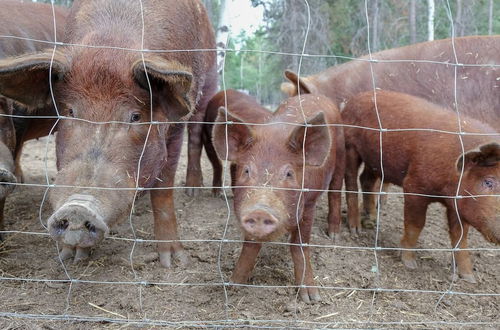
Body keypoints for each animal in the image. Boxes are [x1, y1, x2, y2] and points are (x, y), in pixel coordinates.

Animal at [213, 94, 346, 302]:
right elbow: (249, 246)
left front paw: (311, 298)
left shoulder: (309, 204)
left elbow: (299, 245)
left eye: (289, 173)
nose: (260, 211)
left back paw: (333, 235)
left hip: (341, 155)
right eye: (246, 171)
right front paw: (234, 285)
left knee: (335, 191)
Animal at [344, 90, 500, 284]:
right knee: (351, 180)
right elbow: (416, 225)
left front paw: (469, 278)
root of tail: (357, 97)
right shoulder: (413, 186)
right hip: (350, 145)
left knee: (366, 179)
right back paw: (355, 230)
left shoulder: (458, 203)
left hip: (375, 160)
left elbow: (460, 237)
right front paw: (410, 264)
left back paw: (372, 221)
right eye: (488, 182)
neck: (445, 192)